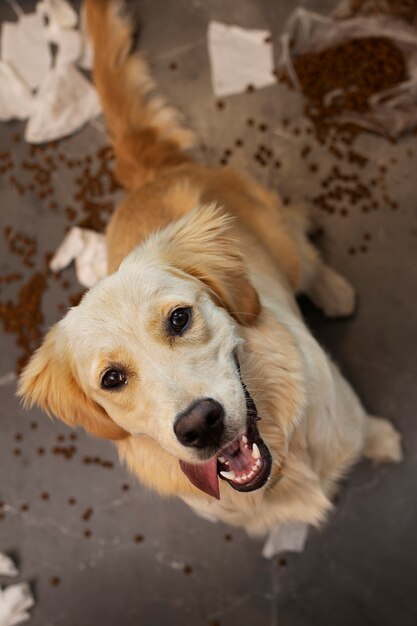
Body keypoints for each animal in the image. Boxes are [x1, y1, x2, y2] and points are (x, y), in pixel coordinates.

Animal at [17, 0, 402, 536]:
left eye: (180, 318)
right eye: (112, 379)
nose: (200, 424)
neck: (281, 463)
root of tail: (153, 174)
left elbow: (365, 430)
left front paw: (383, 441)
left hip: (282, 240)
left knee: (303, 241)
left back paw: (333, 289)